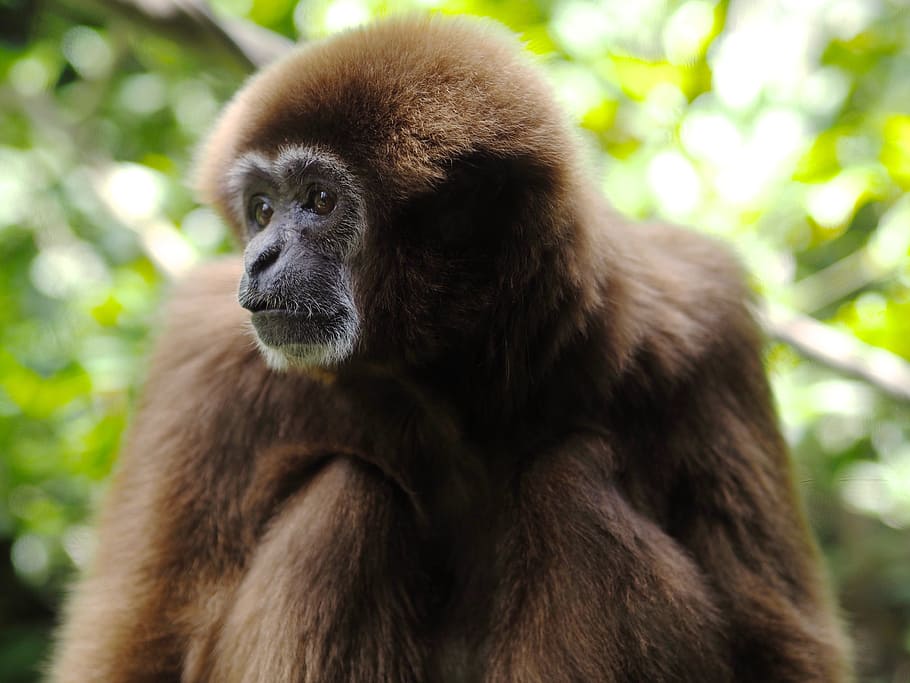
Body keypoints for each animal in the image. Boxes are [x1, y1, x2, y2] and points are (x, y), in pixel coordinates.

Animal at [48, 16, 851, 683]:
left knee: (569, 479)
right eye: (262, 209)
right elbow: (136, 652)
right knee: (349, 498)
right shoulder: (207, 356)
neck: (444, 379)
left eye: (319, 201)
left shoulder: (701, 326)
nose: (262, 258)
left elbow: (779, 648)